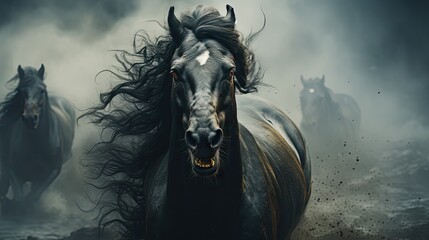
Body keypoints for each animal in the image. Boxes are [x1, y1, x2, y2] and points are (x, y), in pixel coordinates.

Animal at [0, 64, 75, 214]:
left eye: (41, 90)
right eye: (21, 90)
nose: (30, 118)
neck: (36, 144)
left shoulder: (52, 172)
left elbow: (32, 197)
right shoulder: (12, 171)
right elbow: (19, 198)